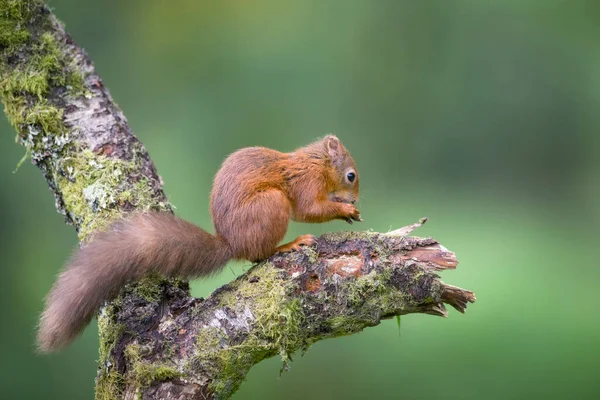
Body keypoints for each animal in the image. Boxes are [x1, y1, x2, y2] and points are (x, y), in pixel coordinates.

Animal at [37, 136, 360, 352]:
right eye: (351, 176)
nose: (356, 199)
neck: (316, 163)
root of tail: (232, 244)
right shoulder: (306, 184)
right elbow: (309, 210)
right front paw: (345, 209)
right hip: (272, 204)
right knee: (260, 255)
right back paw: (288, 244)